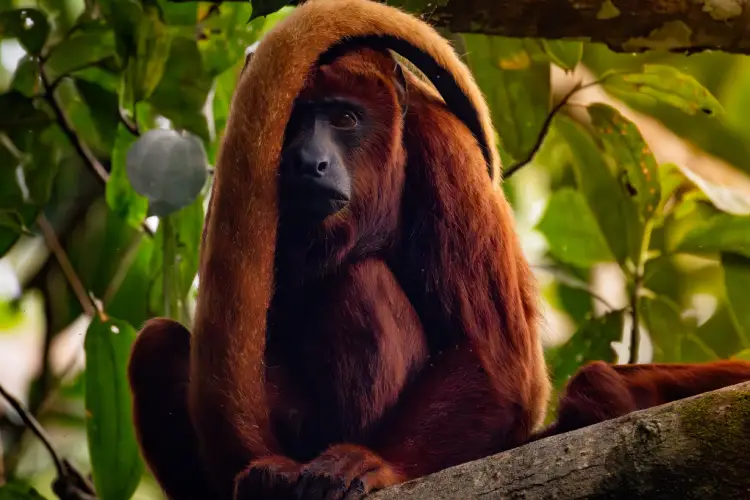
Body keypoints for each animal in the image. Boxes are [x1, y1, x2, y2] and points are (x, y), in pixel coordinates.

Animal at [127, 1, 750, 499]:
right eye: (296, 122)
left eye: (344, 118)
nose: (309, 162)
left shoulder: (446, 152)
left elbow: (495, 360)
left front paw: (376, 464)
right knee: (157, 346)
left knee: (360, 281)